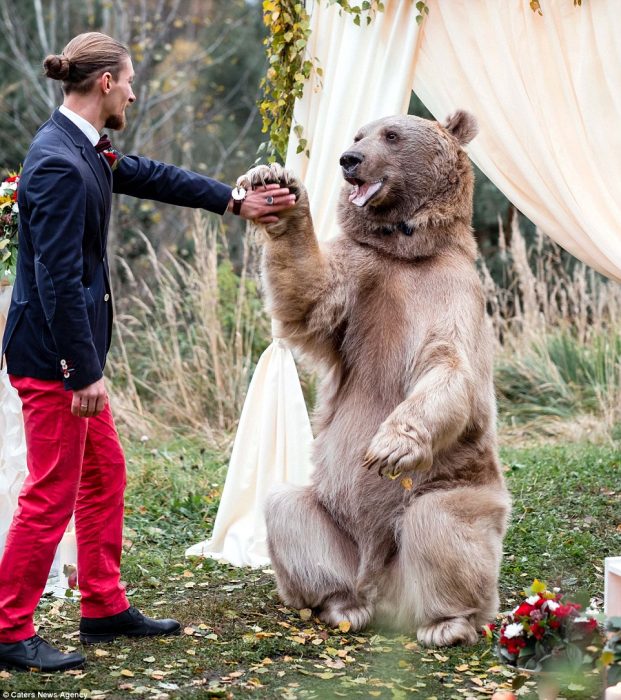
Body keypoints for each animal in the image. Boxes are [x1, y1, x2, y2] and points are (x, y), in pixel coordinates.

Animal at [236, 109, 508, 644]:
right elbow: (309, 295)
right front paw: (274, 185)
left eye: (393, 135)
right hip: (331, 513)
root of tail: (383, 591)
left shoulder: (451, 292)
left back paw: (447, 623)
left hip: (457, 488)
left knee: (442, 525)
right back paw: (341, 606)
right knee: (287, 510)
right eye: (358, 133)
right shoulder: (361, 281)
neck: (407, 251)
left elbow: (449, 367)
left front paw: (389, 446)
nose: (349, 159)